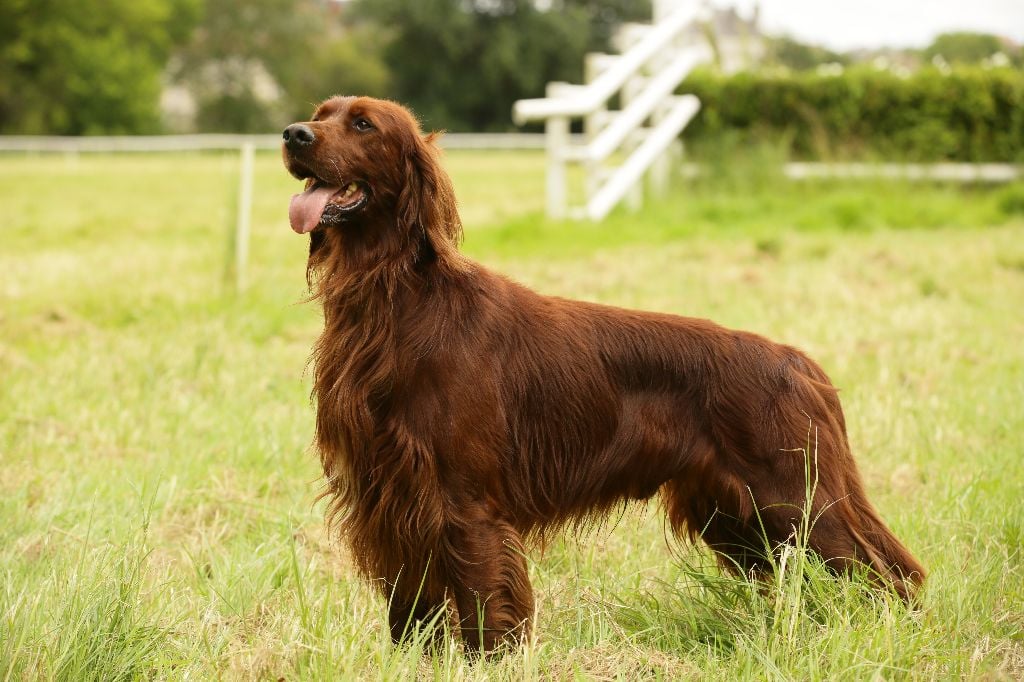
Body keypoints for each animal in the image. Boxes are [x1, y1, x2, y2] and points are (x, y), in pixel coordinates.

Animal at [282, 94, 929, 647]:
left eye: (363, 124)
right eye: (320, 113)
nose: (293, 134)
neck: (391, 299)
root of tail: (798, 361)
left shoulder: (461, 500)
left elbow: (485, 609)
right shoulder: (389, 495)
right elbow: (410, 611)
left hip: (796, 503)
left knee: (889, 577)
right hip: (739, 518)